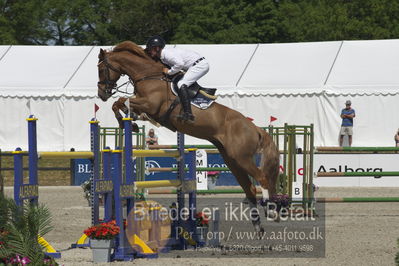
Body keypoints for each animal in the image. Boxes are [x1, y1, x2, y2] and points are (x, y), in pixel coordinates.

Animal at [97, 41, 282, 231]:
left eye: (101, 68)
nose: (101, 94)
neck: (148, 76)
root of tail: (255, 128)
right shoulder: (147, 107)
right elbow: (120, 104)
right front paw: (130, 121)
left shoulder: (150, 104)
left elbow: (120, 101)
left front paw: (127, 122)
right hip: (232, 160)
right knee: (249, 188)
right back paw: (257, 225)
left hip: (242, 158)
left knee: (261, 178)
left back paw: (271, 211)